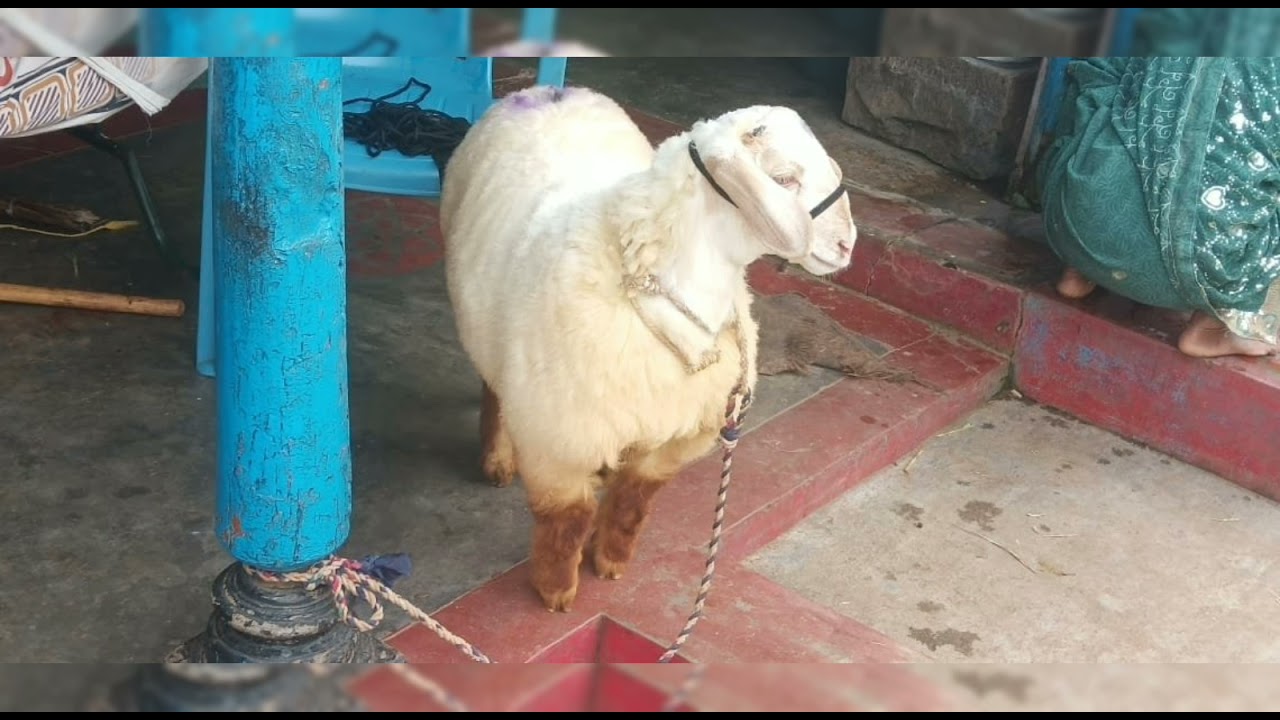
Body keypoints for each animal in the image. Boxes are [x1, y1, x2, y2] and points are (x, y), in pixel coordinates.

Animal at [439, 84, 857, 612]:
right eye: (783, 178)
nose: (846, 245)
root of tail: (548, 90)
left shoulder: (674, 432)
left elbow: (634, 501)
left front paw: (611, 563)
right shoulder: (560, 435)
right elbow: (567, 519)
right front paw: (557, 591)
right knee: (492, 384)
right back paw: (496, 458)